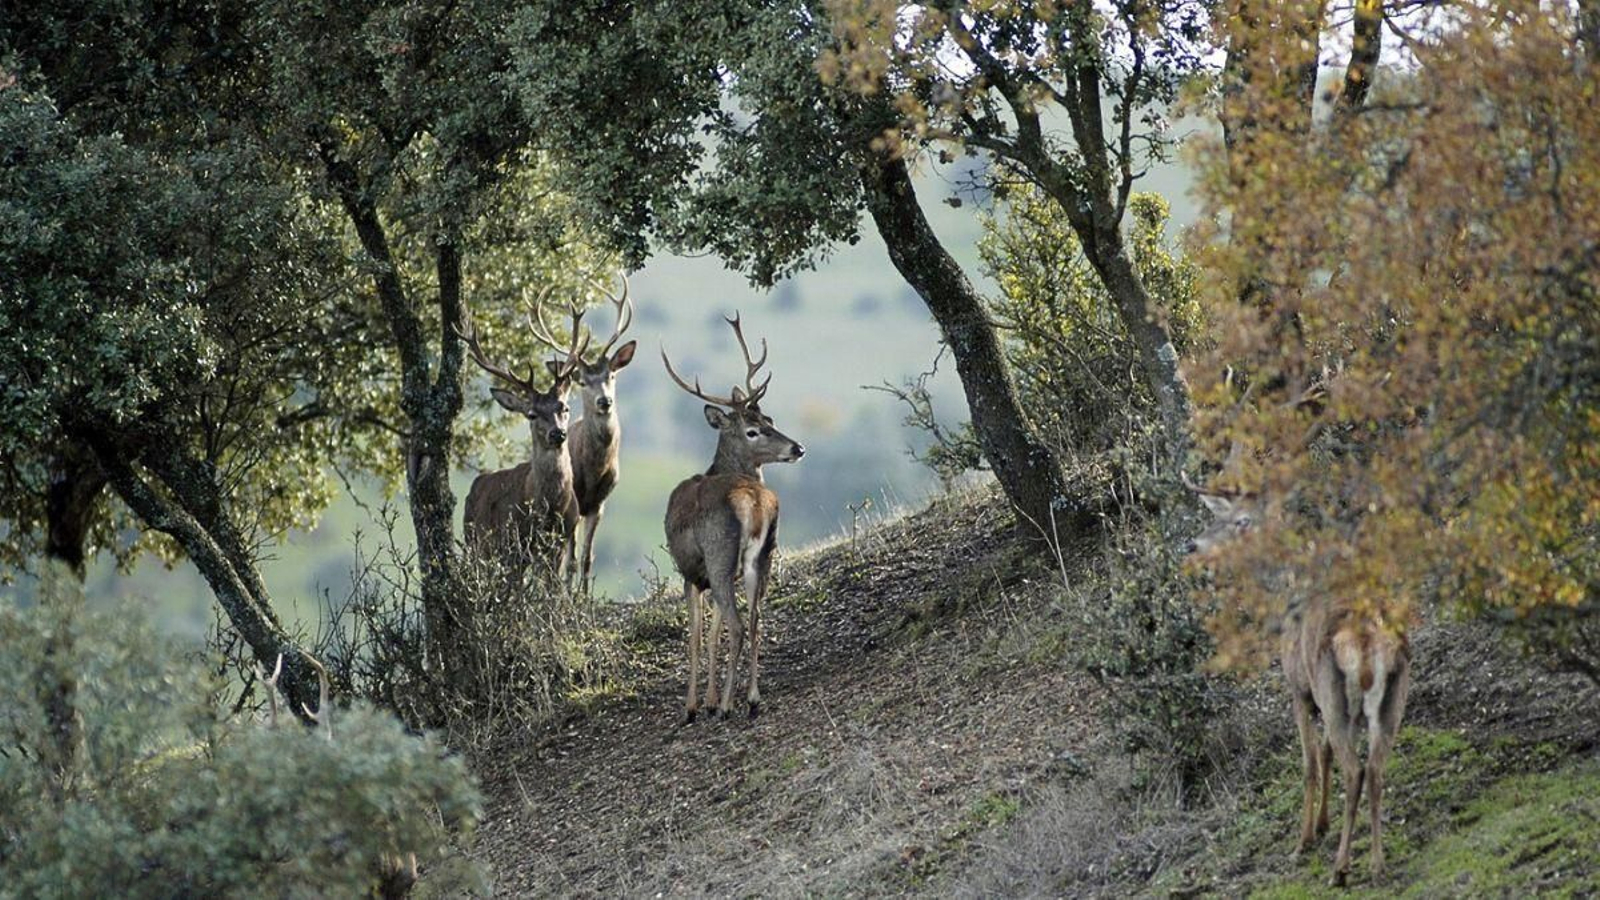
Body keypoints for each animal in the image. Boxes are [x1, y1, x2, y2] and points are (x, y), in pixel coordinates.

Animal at [458, 295, 589, 584]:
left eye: (565, 407)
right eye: (531, 414)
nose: (557, 433)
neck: (547, 510)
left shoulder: (561, 540)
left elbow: (552, 588)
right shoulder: (512, 543)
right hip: (475, 540)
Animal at [661, 314, 805, 721]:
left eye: (769, 419)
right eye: (757, 426)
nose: (798, 448)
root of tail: (754, 500)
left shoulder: (691, 572)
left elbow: (697, 636)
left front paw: (694, 706)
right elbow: (713, 632)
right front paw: (708, 699)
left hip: (720, 555)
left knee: (739, 624)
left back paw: (728, 706)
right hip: (763, 556)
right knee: (756, 619)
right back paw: (753, 698)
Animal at [1186, 481, 1411, 887]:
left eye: (1242, 520)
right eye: (1220, 515)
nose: (1192, 545)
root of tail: (1368, 640)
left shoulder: (1300, 688)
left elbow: (1308, 763)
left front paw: (1304, 839)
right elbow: (1324, 754)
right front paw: (1321, 824)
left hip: (1333, 693)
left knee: (1355, 770)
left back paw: (1340, 868)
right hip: (1390, 699)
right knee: (1375, 770)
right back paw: (1377, 864)